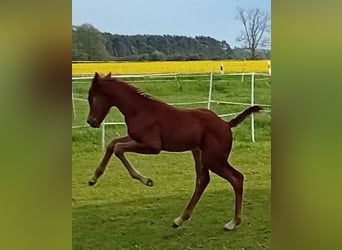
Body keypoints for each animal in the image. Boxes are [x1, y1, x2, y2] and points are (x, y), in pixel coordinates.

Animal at [86, 72, 262, 230]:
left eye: (91, 97)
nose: (91, 121)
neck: (139, 109)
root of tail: (226, 124)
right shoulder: (136, 139)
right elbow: (112, 144)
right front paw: (93, 179)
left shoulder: (152, 146)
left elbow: (118, 148)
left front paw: (146, 180)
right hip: (199, 154)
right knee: (203, 180)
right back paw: (180, 219)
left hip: (214, 159)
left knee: (236, 178)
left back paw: (233, 223)